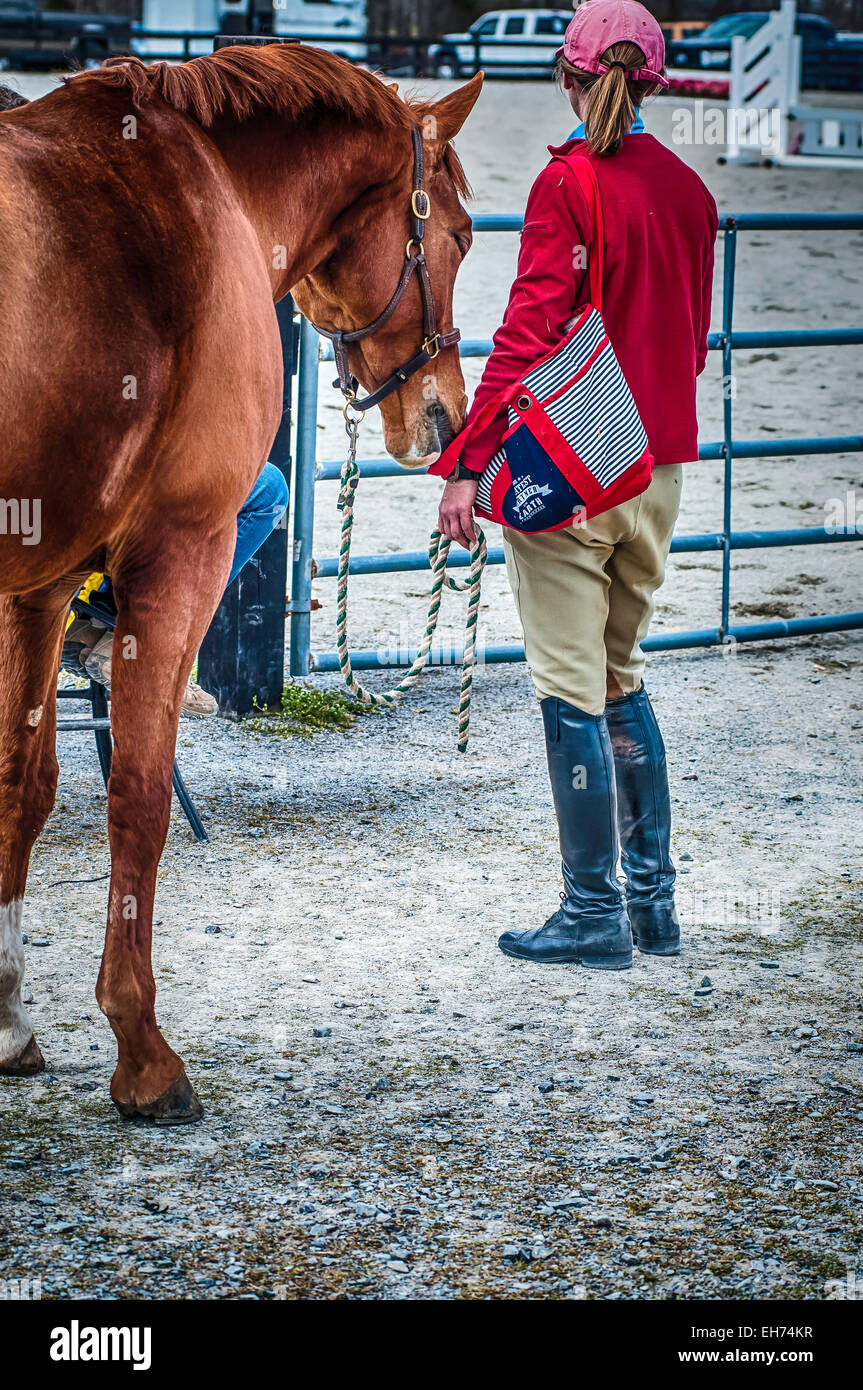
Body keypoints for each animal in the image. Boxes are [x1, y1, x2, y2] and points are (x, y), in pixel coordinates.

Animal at [0, 45, 482, 1122]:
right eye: (461, 236)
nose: (444, 414)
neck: (204, 186)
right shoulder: (182, 553)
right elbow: (138, 798)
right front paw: (141, 1052)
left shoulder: (39, 587)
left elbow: (24, 784)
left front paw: (8, 1017)